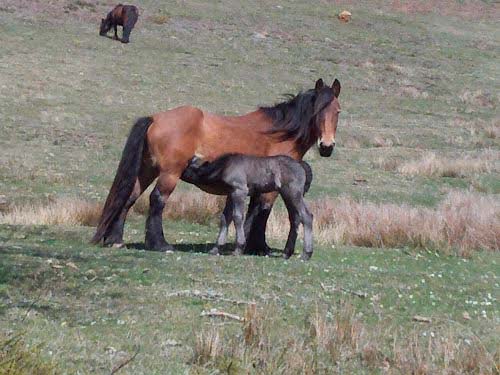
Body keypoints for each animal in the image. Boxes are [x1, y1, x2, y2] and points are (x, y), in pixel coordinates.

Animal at [181, 154, 312, 260]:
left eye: (188, 167)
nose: (179, 173)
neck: (225, 166)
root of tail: (302, 165)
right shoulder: (231, 193)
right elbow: (225, 218)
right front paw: (216, 248)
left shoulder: (240, 190)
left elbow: (238, 217)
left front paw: (239, 247)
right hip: (286, 194)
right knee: (295, 218)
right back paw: (287, 253)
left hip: (293, 192)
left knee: (307, 216)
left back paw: (307, 253)